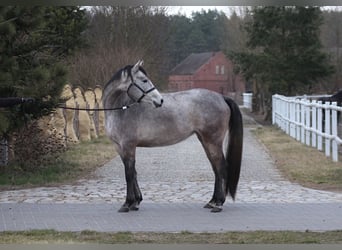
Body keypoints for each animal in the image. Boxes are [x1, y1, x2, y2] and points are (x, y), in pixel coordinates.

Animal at [102, 59, 243, 212]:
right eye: (144, 80)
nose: (160, 101)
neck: (120, 109)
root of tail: (222, 97)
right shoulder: (120, 148)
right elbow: (133, 173)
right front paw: (136, 202)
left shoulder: (128, 146)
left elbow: (128, 174)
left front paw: (127, 203)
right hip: (205, 141)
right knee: (216, 168)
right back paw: (212, 201)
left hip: (213, 141)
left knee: (221, 167)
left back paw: (218, 204)